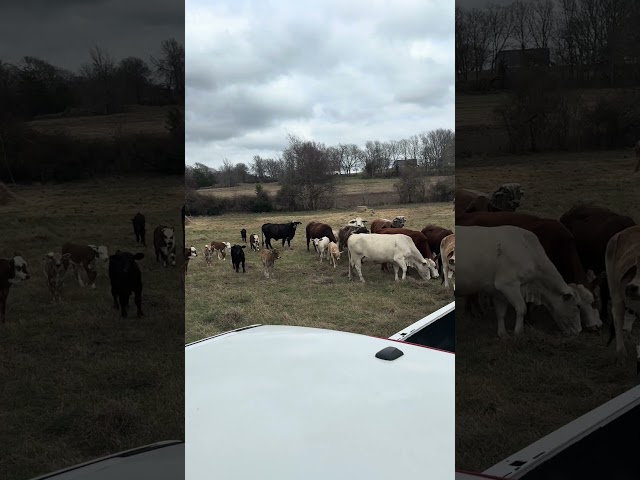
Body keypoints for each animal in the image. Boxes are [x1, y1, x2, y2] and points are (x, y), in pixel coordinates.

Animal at [458, 212, 604, 332]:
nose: (596, 326)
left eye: (595, 300)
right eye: (579, 306)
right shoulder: (509, 284)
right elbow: (523, 307)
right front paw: (524, 325)